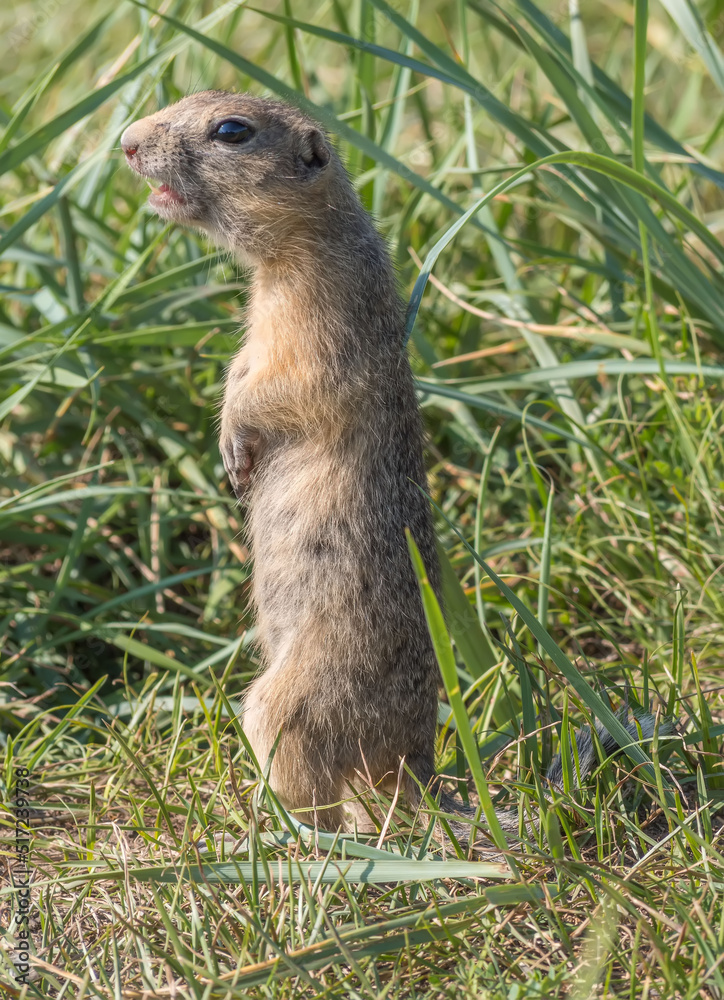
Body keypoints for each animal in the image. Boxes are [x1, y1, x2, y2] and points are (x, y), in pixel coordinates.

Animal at [121, 90, 664, 836]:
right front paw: (229, 450)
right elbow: (239, 371)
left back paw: (274, 829)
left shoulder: (319, 332)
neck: (301, 249)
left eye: (231, 130)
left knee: (320, 798)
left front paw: (234, 441)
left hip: (286, 702)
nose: (125, 141)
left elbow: (280, 389)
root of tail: (415, 766)